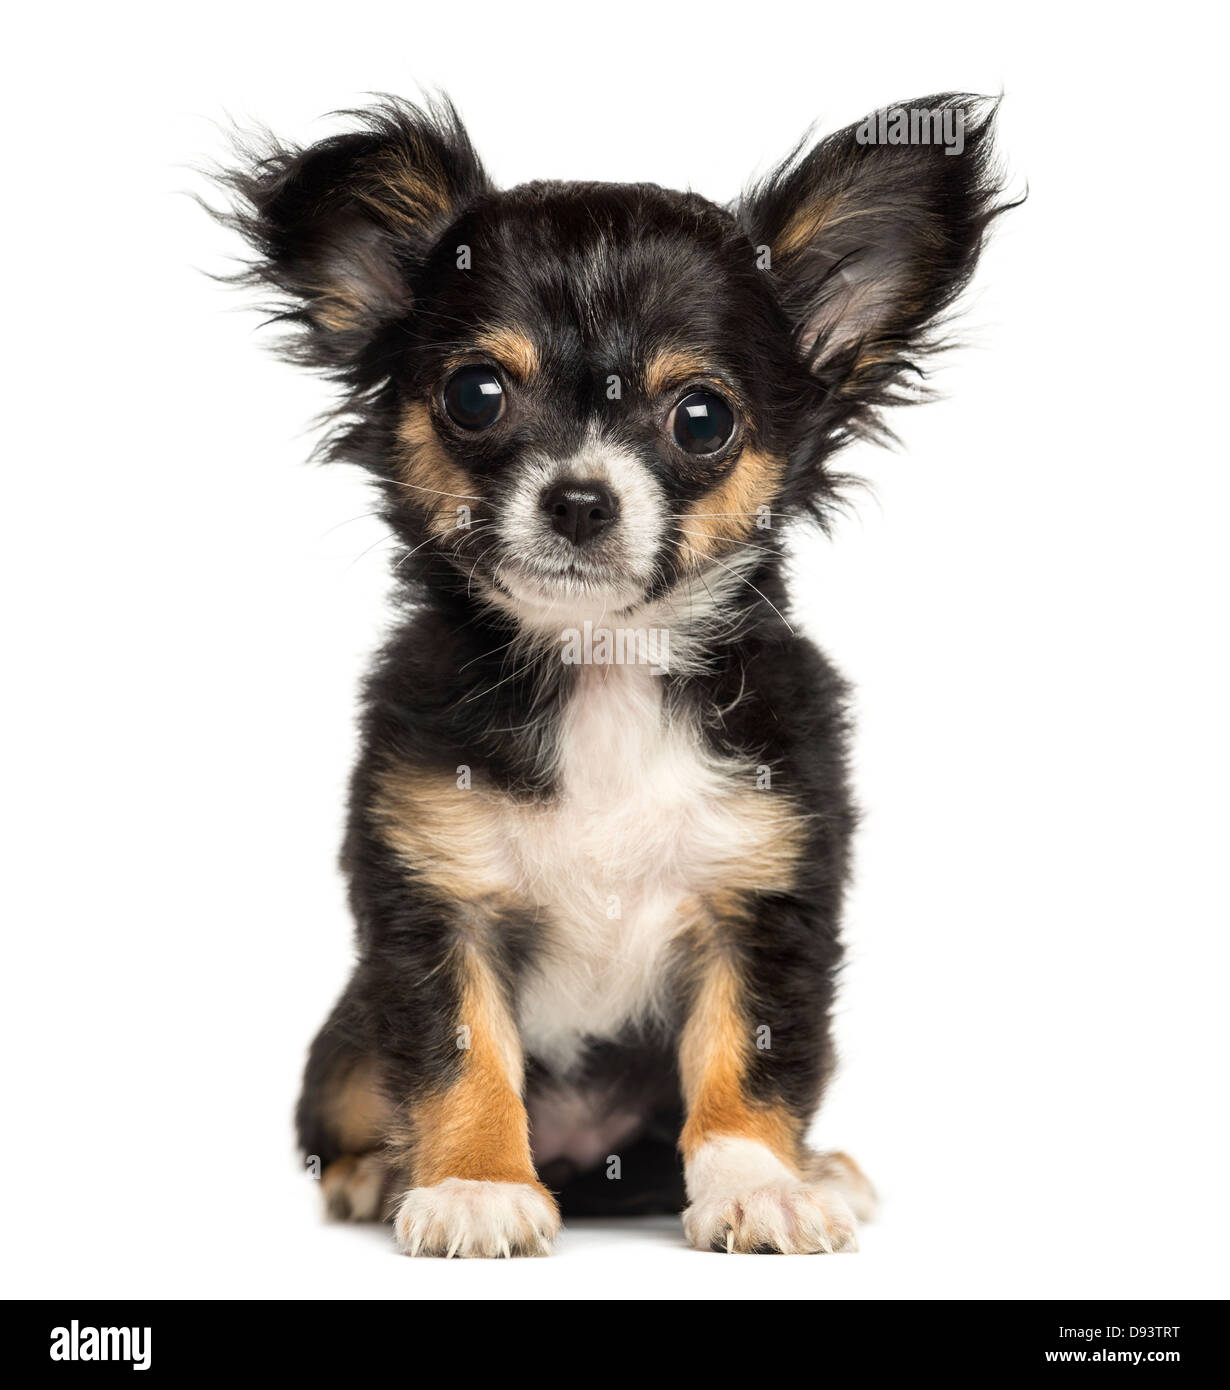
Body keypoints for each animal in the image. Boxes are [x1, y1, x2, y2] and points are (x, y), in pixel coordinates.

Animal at [220, 92, 1006, 1256]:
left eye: (702, 418)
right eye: (475, 394)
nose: (581, 499)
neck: (603, 667)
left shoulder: (765, 898)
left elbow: (747, 1060)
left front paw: (759, 1183)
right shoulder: (433, 897)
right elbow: (460, 1053)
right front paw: (475, 1183)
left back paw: (820, 1166)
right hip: (349, 1036)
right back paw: (376, 1173)